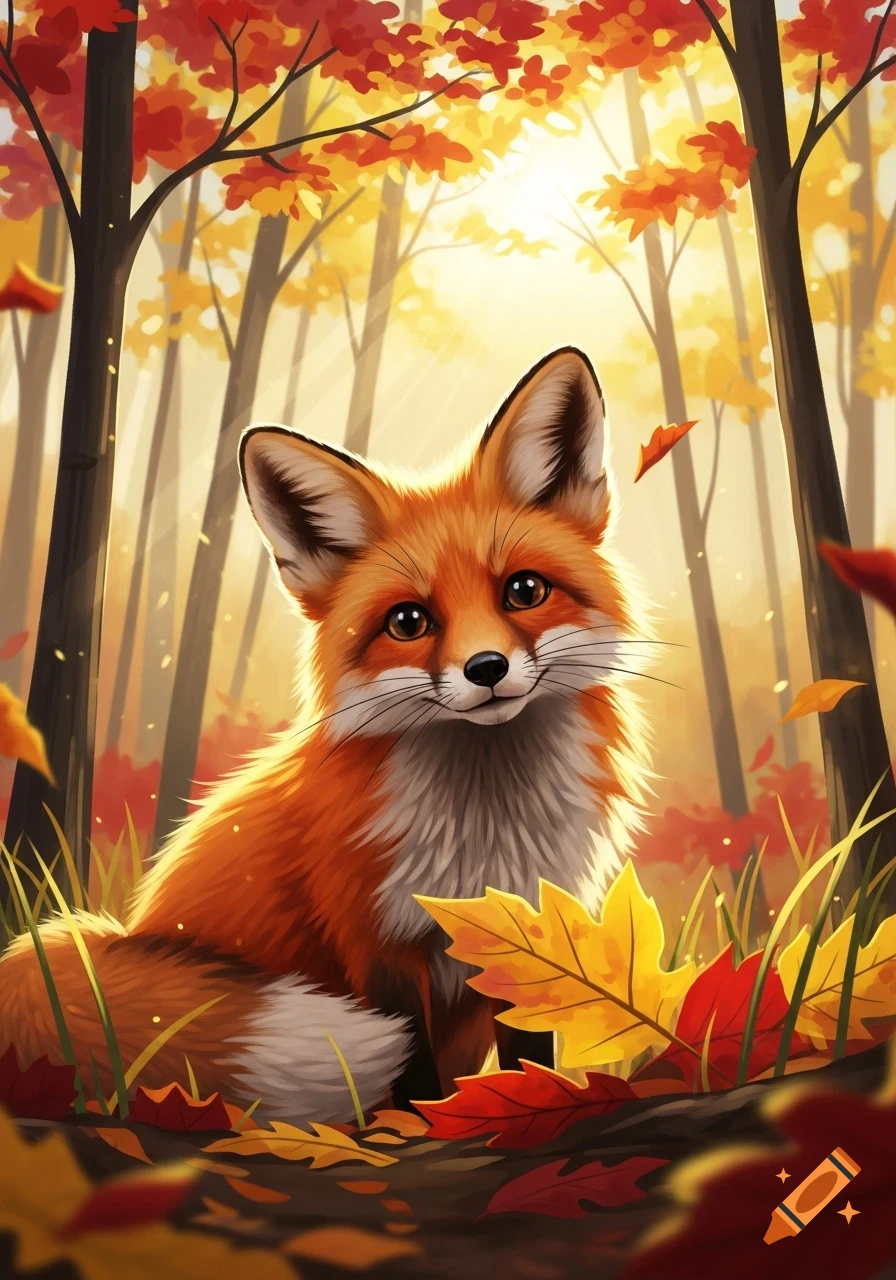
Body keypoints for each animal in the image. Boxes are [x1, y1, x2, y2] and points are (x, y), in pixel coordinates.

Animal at [0, 346, 652, 1122]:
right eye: (408, 622)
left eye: (523, 591)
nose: (487, 669)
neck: (484, 831)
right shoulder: (376, 942)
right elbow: (414, 1069)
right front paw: (410, 1130)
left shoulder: (522, 929)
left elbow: (530, 1049)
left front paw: (538, 1099)